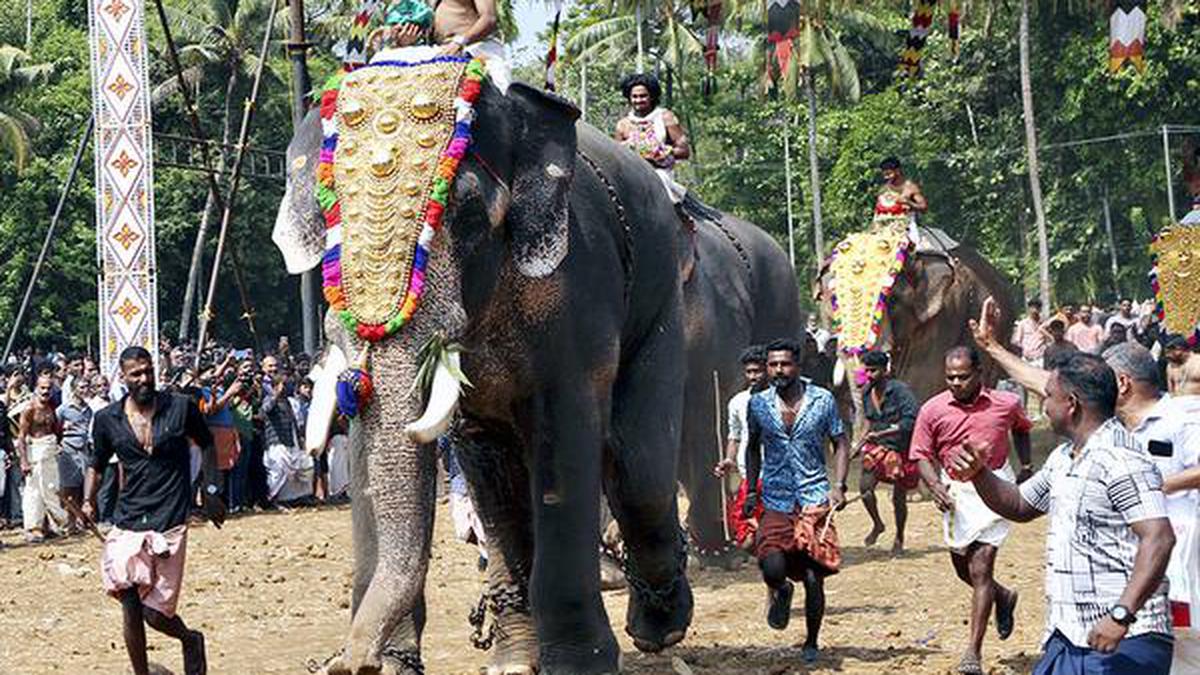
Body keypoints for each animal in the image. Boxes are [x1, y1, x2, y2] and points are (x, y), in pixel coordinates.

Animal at [271, 53, 796, 672]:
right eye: (328, 221)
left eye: (468, 213)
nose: (348, 660)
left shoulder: (579, 285)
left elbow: (568, 439)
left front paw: (579, 662)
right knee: (502, 471)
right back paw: (523, 649)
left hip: (666, 296)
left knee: (640, 460)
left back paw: (663, 620)